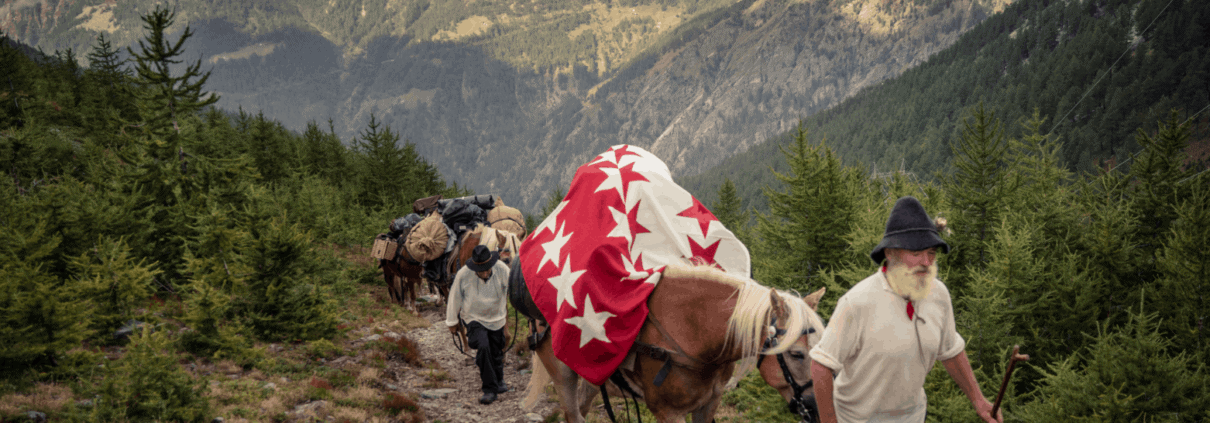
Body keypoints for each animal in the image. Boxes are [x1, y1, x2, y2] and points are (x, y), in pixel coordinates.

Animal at [517, 264, 822, 423]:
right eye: (797, 354)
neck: (693, 331)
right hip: (563, 376)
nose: (816, 408)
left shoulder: (708, 406)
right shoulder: (668, 413)